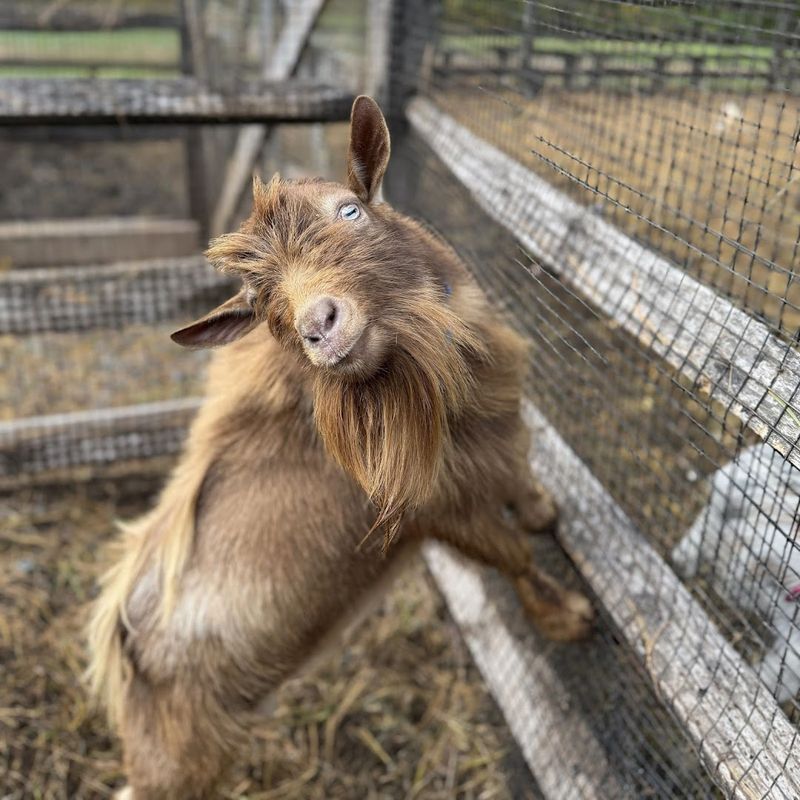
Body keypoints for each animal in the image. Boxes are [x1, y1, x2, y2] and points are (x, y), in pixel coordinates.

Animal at [88, 96, 593, 799]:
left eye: (349, 210)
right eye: (261, 305)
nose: (319, 326)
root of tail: (125, 636)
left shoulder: (494, 443)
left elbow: (522, 483)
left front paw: (545, 511)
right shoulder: (439, 510)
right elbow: (513, 556)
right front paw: (569, 617)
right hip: (176, 753)